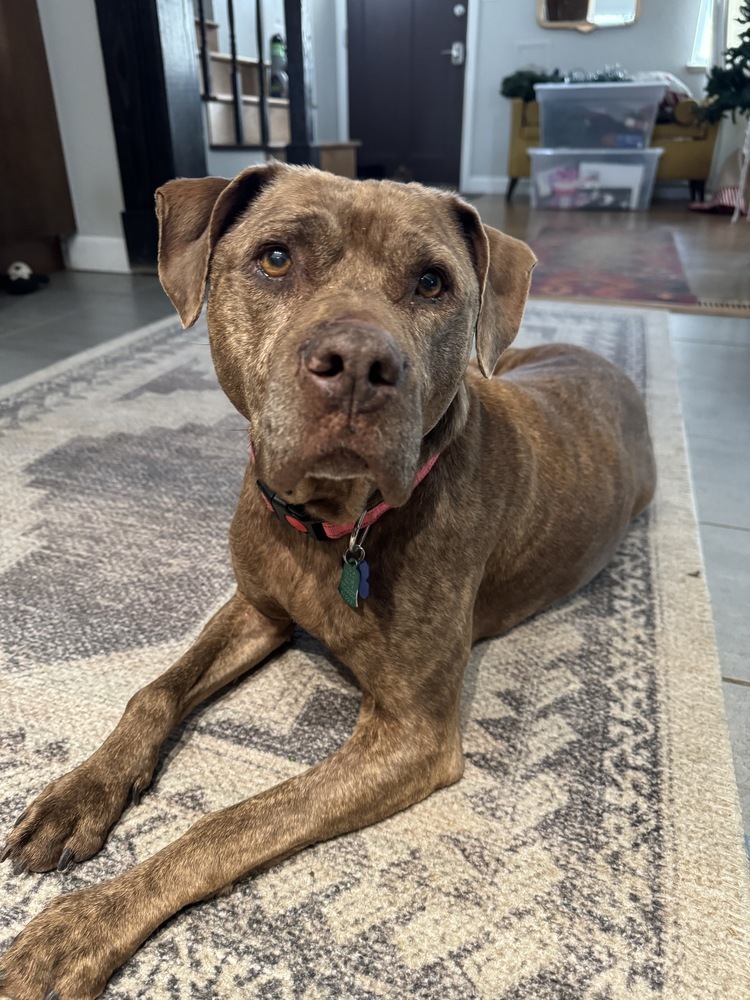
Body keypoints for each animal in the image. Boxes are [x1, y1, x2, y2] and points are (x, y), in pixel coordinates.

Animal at [0, 160, 656, 996]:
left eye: (432, 282)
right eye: (276, 258)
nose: (359, 367)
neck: (334, 525)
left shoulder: (409, 734)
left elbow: (237, 819)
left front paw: (81, 925)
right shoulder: (256, 610)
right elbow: (156, 690)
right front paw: (78, 794)